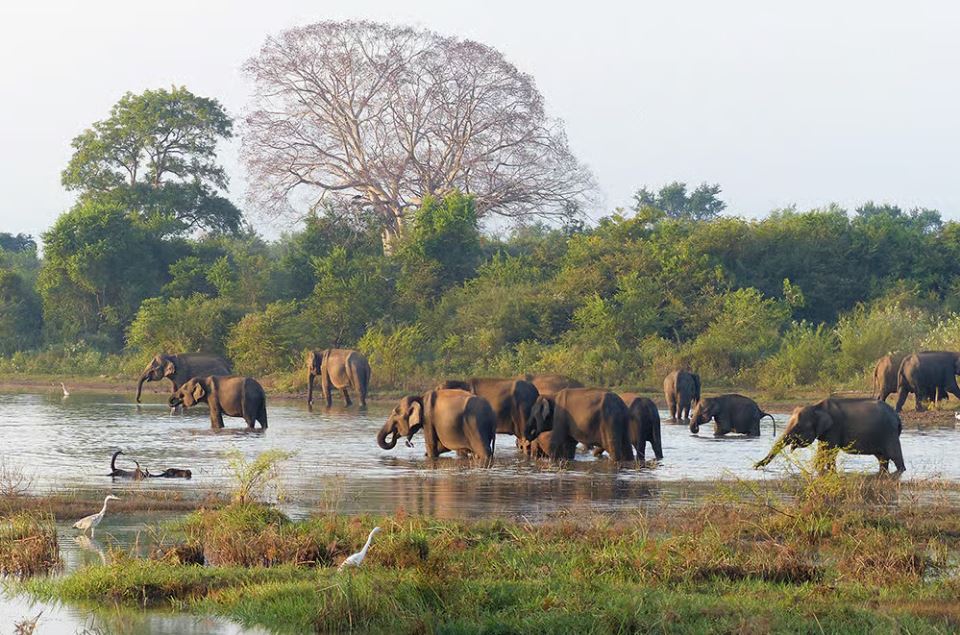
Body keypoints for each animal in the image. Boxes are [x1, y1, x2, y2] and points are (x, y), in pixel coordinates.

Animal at [754, 397, 904, 475]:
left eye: (798, 427)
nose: (755, 466)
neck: (817, 407)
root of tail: (897, 417)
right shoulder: (825, 432)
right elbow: (822, 450)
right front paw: (819, 470)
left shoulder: (834, 428)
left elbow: (830, 451)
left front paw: (828, 471)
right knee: (882, 458)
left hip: (889, 433)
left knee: (895, 455)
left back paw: (901, 470)